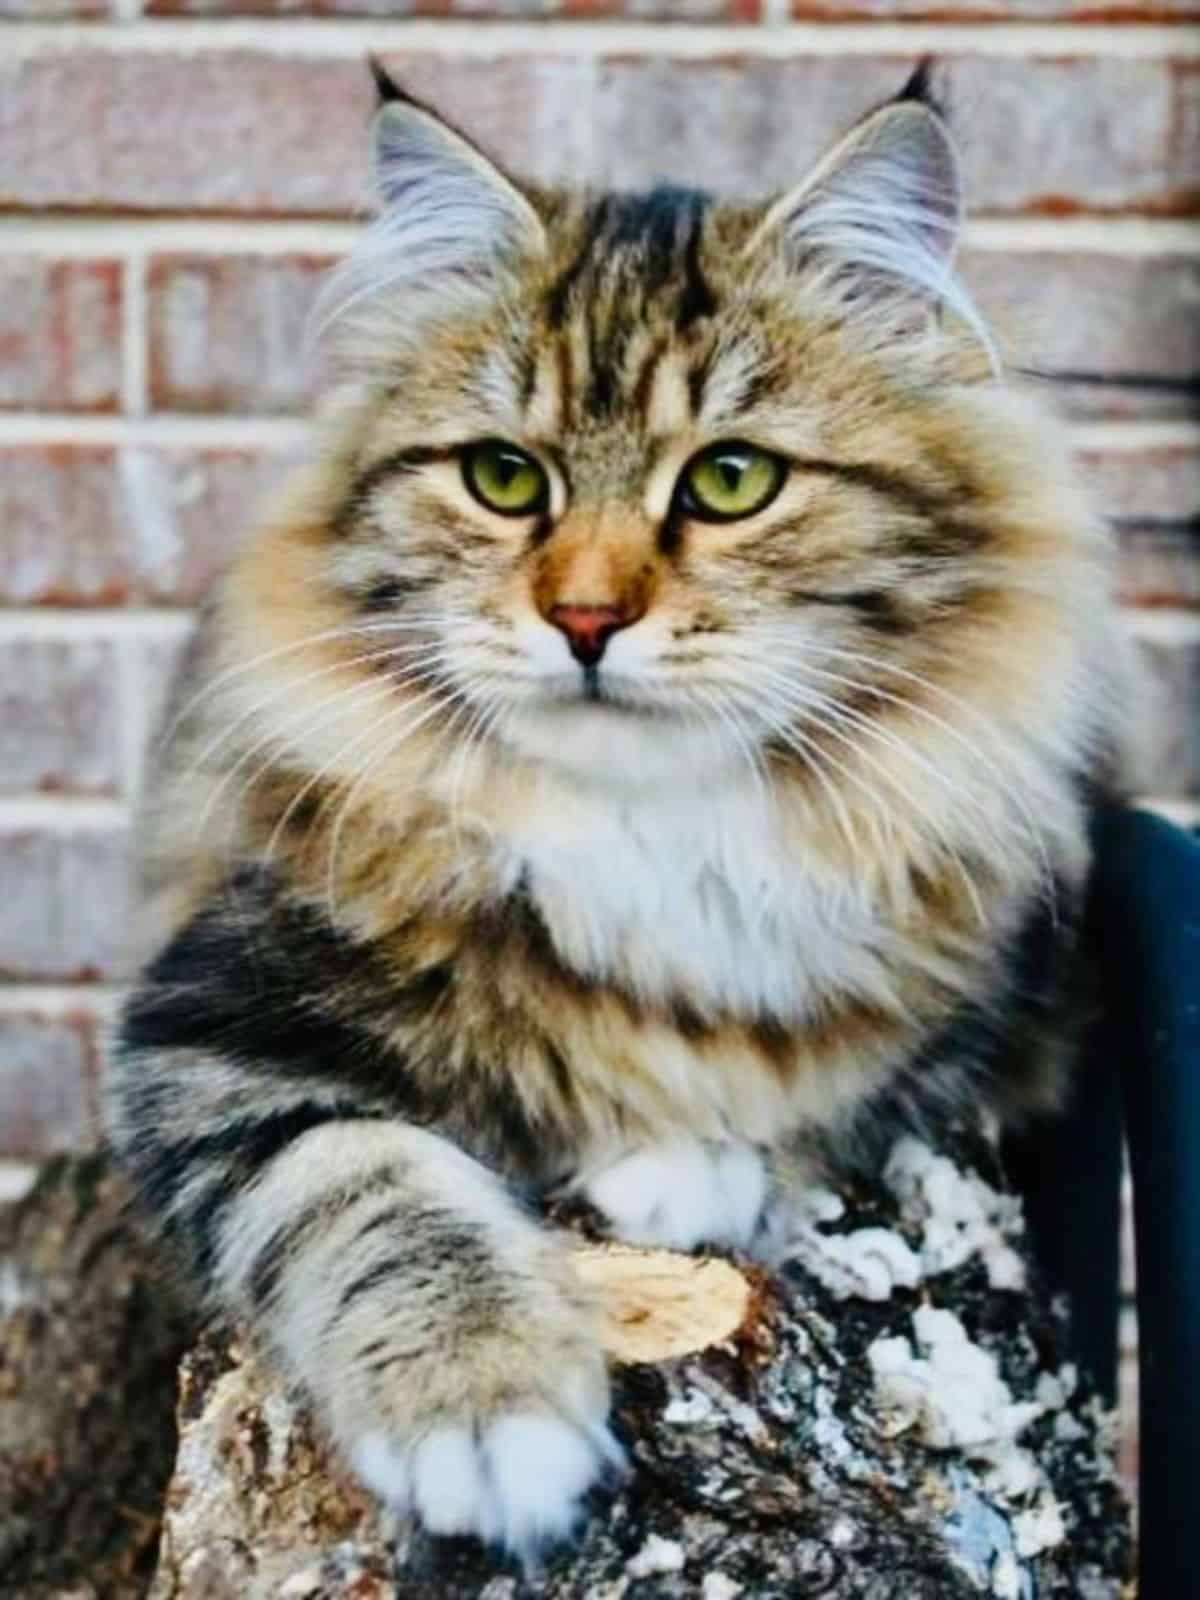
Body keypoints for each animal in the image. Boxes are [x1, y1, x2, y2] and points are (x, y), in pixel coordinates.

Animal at [105, 65, 1126, 1561]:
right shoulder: (207, 1030)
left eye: (731, 481)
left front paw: (684, 1168)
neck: (646, 828)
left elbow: (827, 1094)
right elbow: (369, 1181)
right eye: (504, 479)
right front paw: (490, 1414)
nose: (584, 618)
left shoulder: (997, 1023)